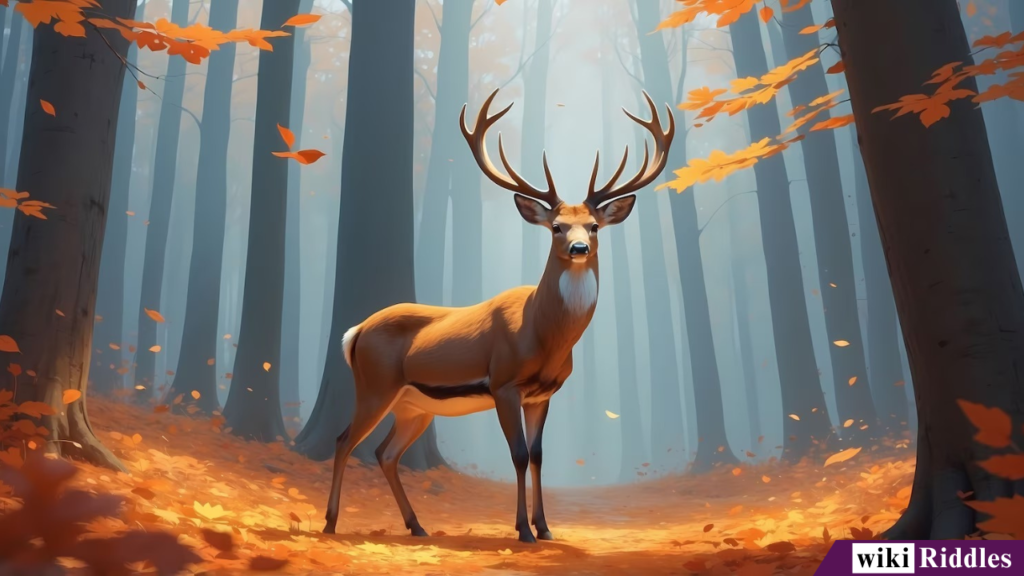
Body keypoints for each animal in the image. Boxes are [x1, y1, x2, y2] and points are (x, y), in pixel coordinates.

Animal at [322, 88, 674, 543]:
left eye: (594, 226)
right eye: (557, 227)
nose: (579, 248)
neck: (543, 336)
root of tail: (356, 331)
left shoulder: (543, 393)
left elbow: (539, 455)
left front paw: (546, 528)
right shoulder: (504, 383)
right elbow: (519, 455)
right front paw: (523, 530)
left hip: (414, 405)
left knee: (385, 452)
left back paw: (417, 526)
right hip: (374, 385)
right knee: (344, 439)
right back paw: (331, 522)